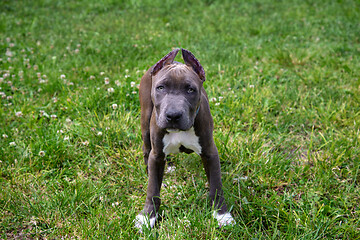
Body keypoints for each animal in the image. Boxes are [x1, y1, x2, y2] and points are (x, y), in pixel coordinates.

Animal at [134, 47, 233, 230]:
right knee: (146, 149)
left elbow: (216, 185)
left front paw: (222, 215)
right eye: (160, 88)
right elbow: (152, 189)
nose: (173, 115)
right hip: (145, 123)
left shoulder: (210, 152)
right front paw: (147, 217)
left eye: (190, 90)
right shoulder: (156, 155)